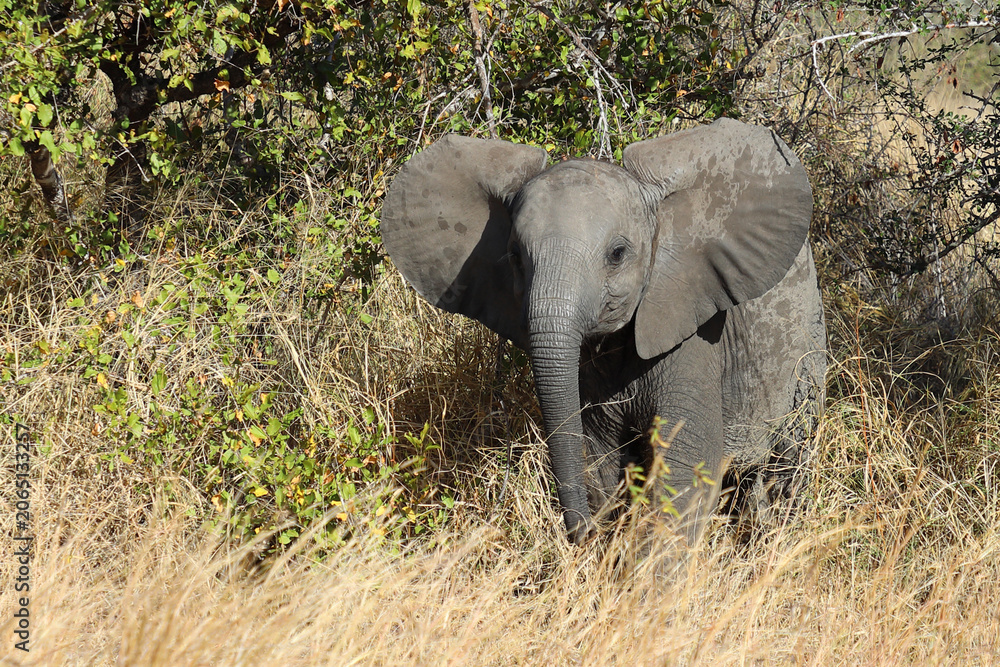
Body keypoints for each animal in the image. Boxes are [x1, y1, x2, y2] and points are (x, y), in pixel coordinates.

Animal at [380, 118, 827, 546]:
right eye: (514, 257)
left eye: (617, 255)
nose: (581, 536)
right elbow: (601, 464)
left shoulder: (694, 330)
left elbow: (685, 473)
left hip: (807, 348)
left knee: (786, 467)